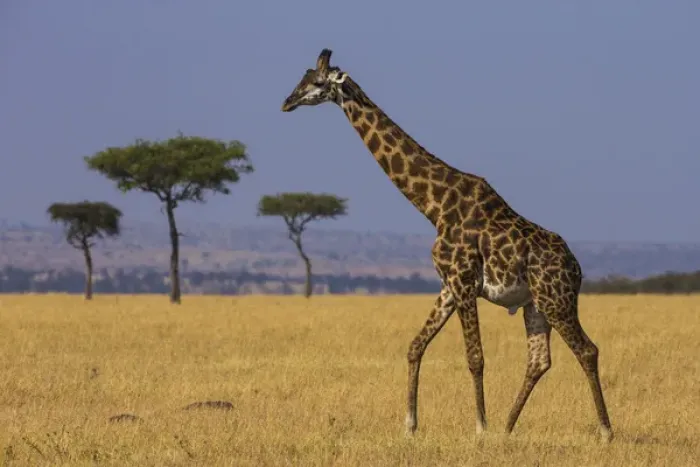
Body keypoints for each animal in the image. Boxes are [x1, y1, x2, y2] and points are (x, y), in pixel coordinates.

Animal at [281, 48, 613, 442]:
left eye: (316, 82)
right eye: (301, 78)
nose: (287, 102)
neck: (434, 206)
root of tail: (577, 269)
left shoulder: (463, 280)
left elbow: (475, 356)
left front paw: (480, 428)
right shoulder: (448, 284)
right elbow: (415, 346)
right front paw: (410, 426)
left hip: (555, 299)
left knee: (587, 350)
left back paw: (604, 431)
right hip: (535, 303)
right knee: (539, 360)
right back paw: (508, 428)